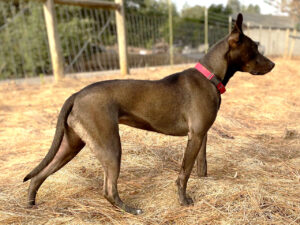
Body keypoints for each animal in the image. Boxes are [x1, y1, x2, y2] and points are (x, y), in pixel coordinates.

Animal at [24, 14, 276, 214]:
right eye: (254, 49)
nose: (273, 65)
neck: (209, 76)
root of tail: (76, 94)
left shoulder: (202, 135)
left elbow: (201, 166)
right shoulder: (194, 136)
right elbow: (184, 173)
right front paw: (183, 201)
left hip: (71, 145)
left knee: (38, 175)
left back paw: (30, 204)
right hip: (110, 147)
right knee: (108, 190)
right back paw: (130, 210)